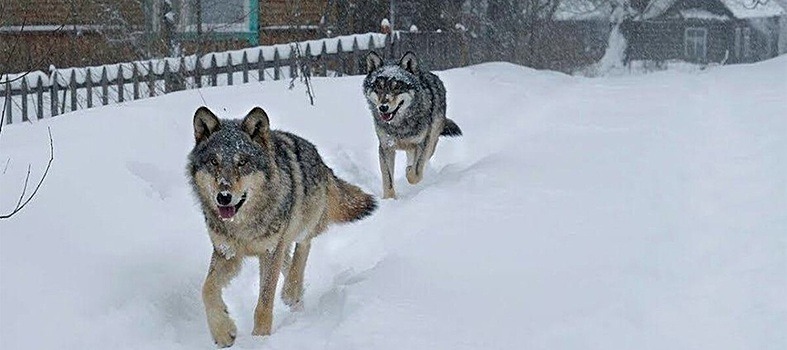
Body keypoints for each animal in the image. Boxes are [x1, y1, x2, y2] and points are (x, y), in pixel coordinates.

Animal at [188, 106, 378, 348]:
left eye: (242, 162)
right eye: (214, 162)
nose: (223, 197)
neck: (244, 225)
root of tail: (320, 159)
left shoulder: (270, 251)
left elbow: (265, 301)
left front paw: (260, 339)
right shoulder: (227, 253)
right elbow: (207, 289)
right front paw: (223, 332)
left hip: (301, 226)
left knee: (303, 248)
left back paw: (291, 291)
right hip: (281, 244)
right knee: (288, 262)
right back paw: (295, 295)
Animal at [366, 51, 464, 200]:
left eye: (397, 87)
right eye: (379, 87)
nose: (383, 107)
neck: (399, 126)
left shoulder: (422, 144)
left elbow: (415, 173)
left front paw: (408, 171)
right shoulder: (386, 147)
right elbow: (388, 180)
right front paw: (389, 200)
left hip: (431, 142)